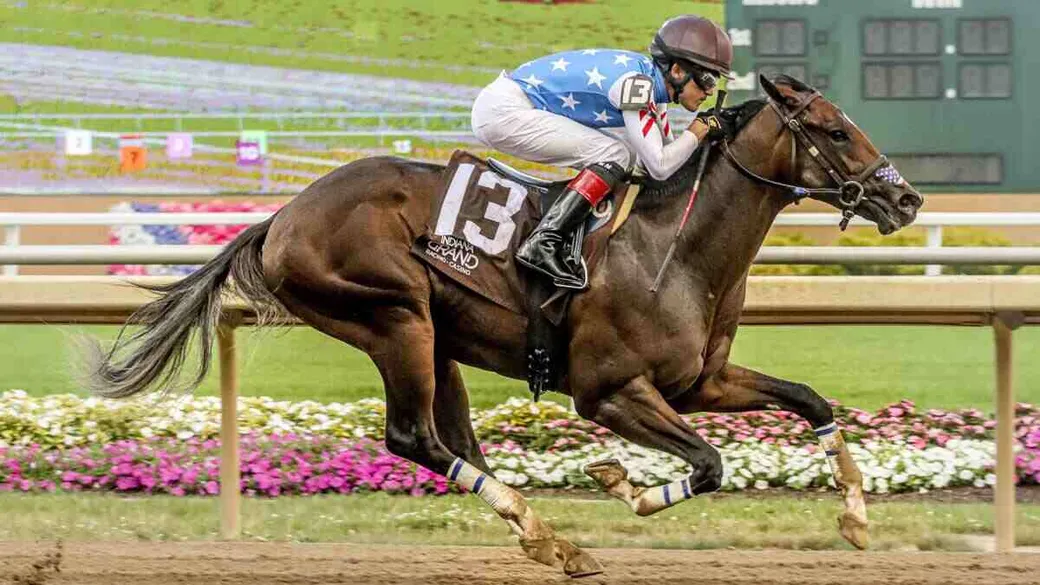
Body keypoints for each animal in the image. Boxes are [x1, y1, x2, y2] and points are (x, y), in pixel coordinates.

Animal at [82, 75, 923, 577]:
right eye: (835, 131)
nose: (907, 198)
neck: (673, 246)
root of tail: (280, 217)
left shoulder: (700, 382)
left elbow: (810, 399)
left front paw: (855, 519)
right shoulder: (609, 391)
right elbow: (711, 463)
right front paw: (625, 485)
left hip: (434, 339)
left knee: (453, 441)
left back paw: (545, 534)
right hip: (395, 315)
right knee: (415, 437)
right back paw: (543, 528)